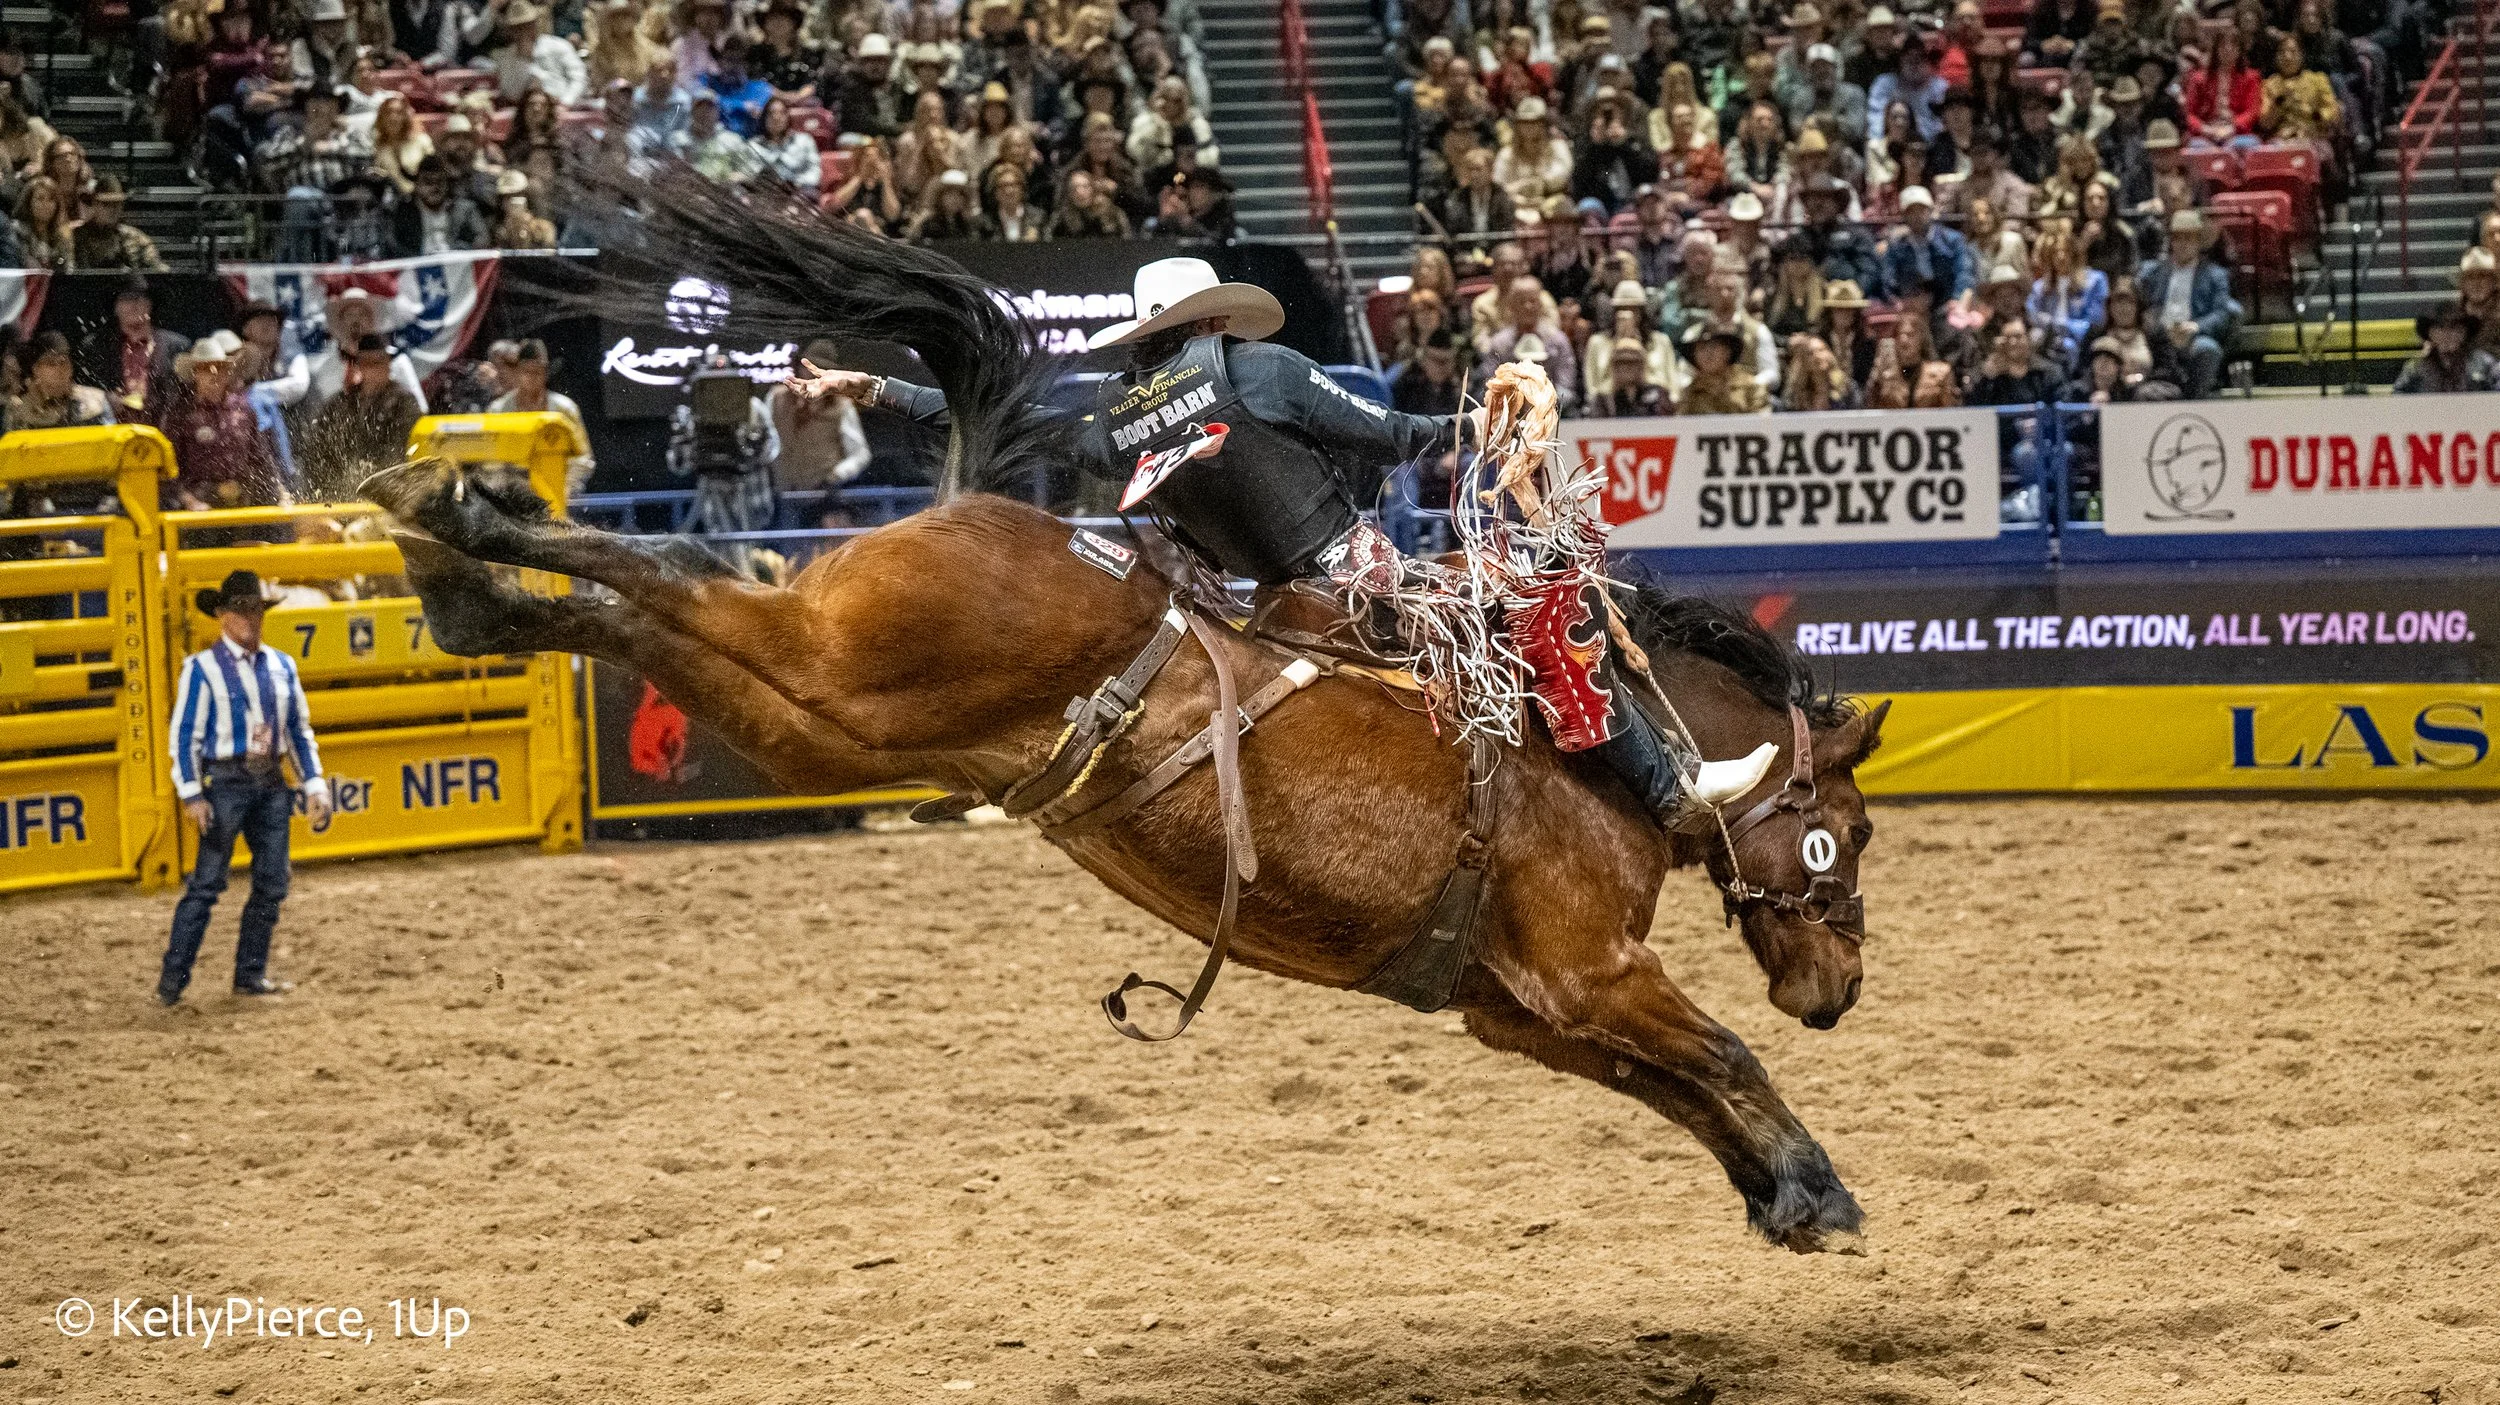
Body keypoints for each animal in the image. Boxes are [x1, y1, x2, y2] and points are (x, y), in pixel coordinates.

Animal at [362, 189, 1890, 1252]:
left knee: (654, 618)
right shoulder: (1588, 968)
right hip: (839, 669)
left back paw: (465, 570)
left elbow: (1668, 1083)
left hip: (825, 716)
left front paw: (1780, 1191)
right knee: (679, 573)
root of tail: (984, 506)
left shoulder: (1518, 1007)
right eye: (1850, 828)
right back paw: (464, 511)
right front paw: (1816, 1182)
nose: (1839, 990)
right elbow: (1713, 1050)